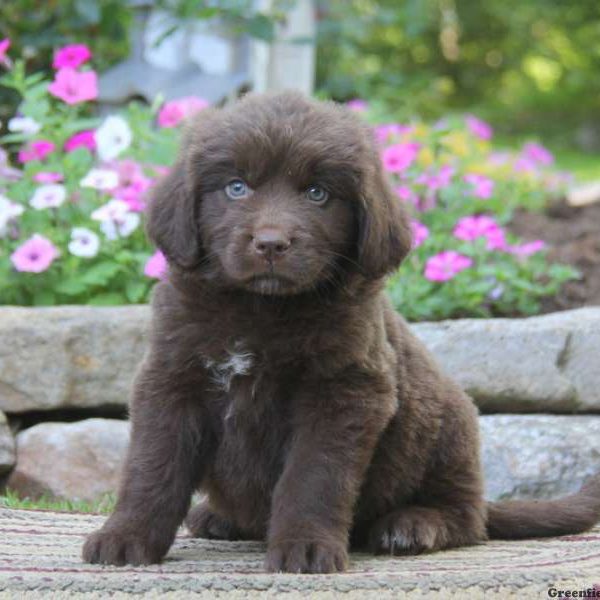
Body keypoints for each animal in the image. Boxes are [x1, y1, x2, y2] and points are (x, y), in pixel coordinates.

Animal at [83, 91, 600, 576]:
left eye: (317, 193)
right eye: (236, 187)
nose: (271, 243)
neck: (260, 309)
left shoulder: (344, 391)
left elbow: (313, 476)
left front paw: (305, 548)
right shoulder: (172, 377)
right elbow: (152, 467)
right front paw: (125, 537)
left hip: (449, 424)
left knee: (467, 516)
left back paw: (412, 525)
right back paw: (219, 518)